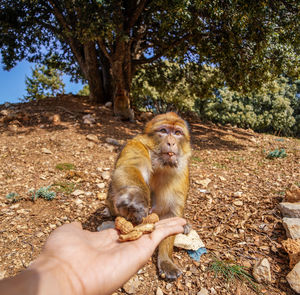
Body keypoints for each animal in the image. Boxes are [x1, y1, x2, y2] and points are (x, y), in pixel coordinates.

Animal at [106, 112, 191, 280]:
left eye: (177, 133)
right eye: (163, 131)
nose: (171, 142)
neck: (161, 165)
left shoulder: (182, 172)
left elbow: (171, 215)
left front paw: (166, 260)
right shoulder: (136, 145)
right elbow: (129, 168)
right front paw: (137, 200)